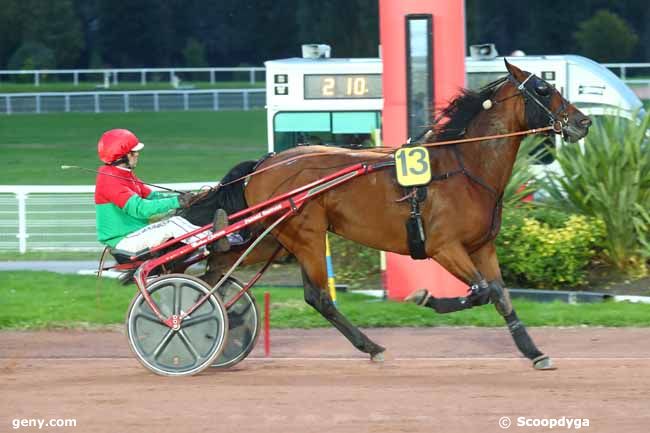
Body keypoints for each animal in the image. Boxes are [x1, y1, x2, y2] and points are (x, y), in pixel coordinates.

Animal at [189, 60, 592, 368]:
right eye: (543, 89)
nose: (583, 122)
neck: (464, 168)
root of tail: (264, 163)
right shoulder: (444, 247)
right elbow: (481, 291)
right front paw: (425, 297)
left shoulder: (483, 248)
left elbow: (501, 296)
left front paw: (534, 352)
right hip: (305, 236)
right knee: (318, 296)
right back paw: (372, 346)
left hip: (273, 238)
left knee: (218, 267)